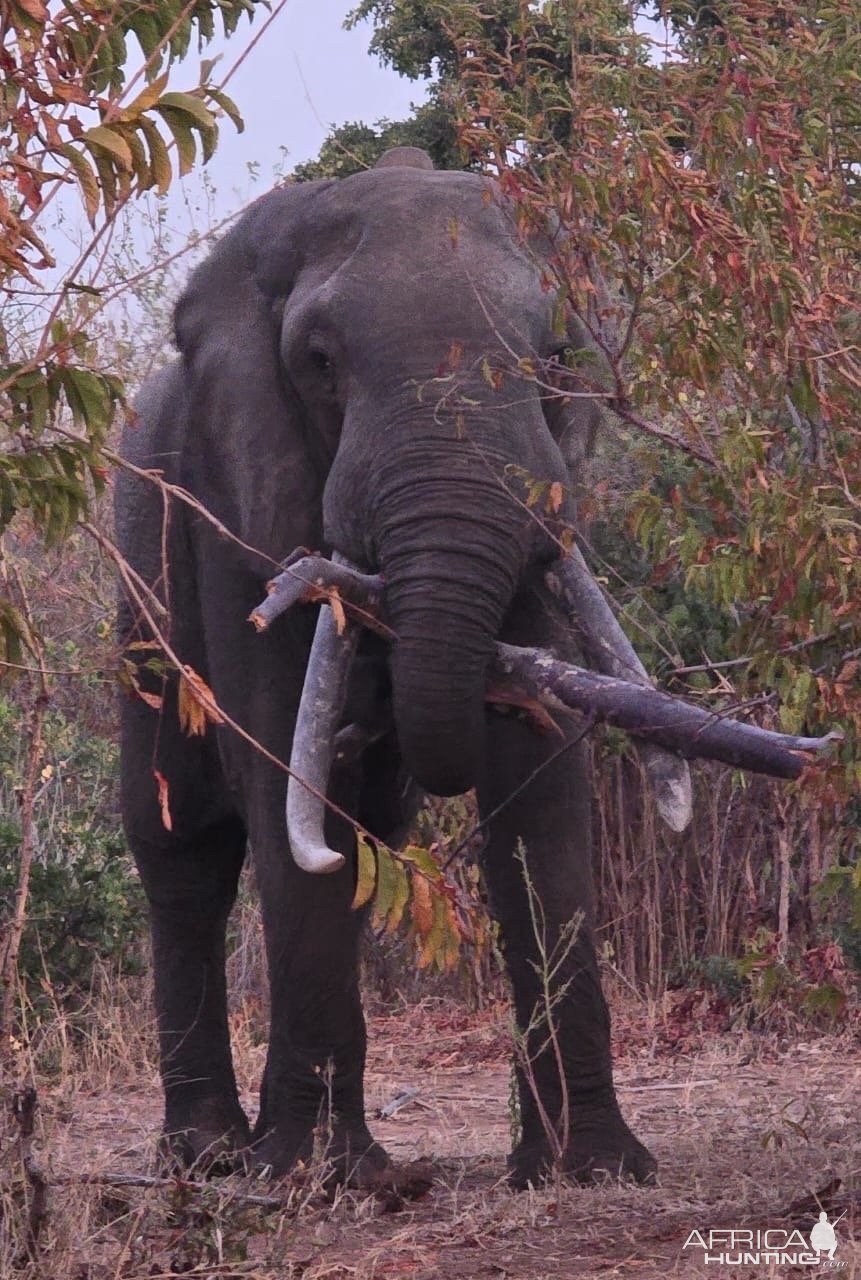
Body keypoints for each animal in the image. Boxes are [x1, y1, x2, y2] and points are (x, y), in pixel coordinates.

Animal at [113, 147, 660, 1187]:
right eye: (320, 364)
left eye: (556, 359)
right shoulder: (234, 514)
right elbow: (286, 779)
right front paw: (323, 1183)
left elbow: (539, 789)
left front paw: (592, 1172)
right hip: (139, 564)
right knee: (185, 843)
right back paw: (211, 1158)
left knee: (366, 839)